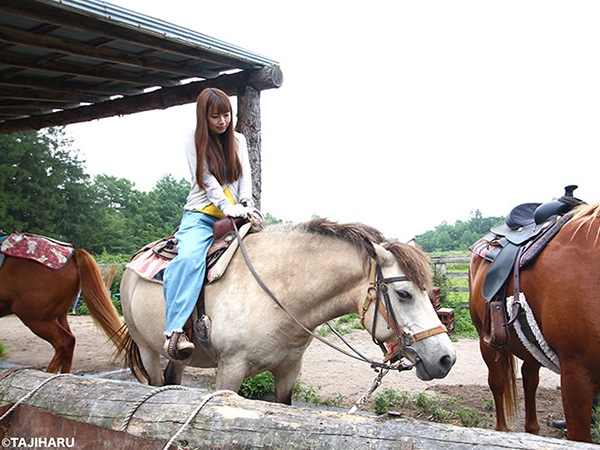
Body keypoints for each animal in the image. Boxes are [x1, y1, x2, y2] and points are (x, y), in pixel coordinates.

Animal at [468, 204, 600, 442]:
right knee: (497, 382)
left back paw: (532, 429)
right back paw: (502, 430)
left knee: (529, 380)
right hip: (486, 341)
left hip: (531, 345)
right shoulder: (576, 376)